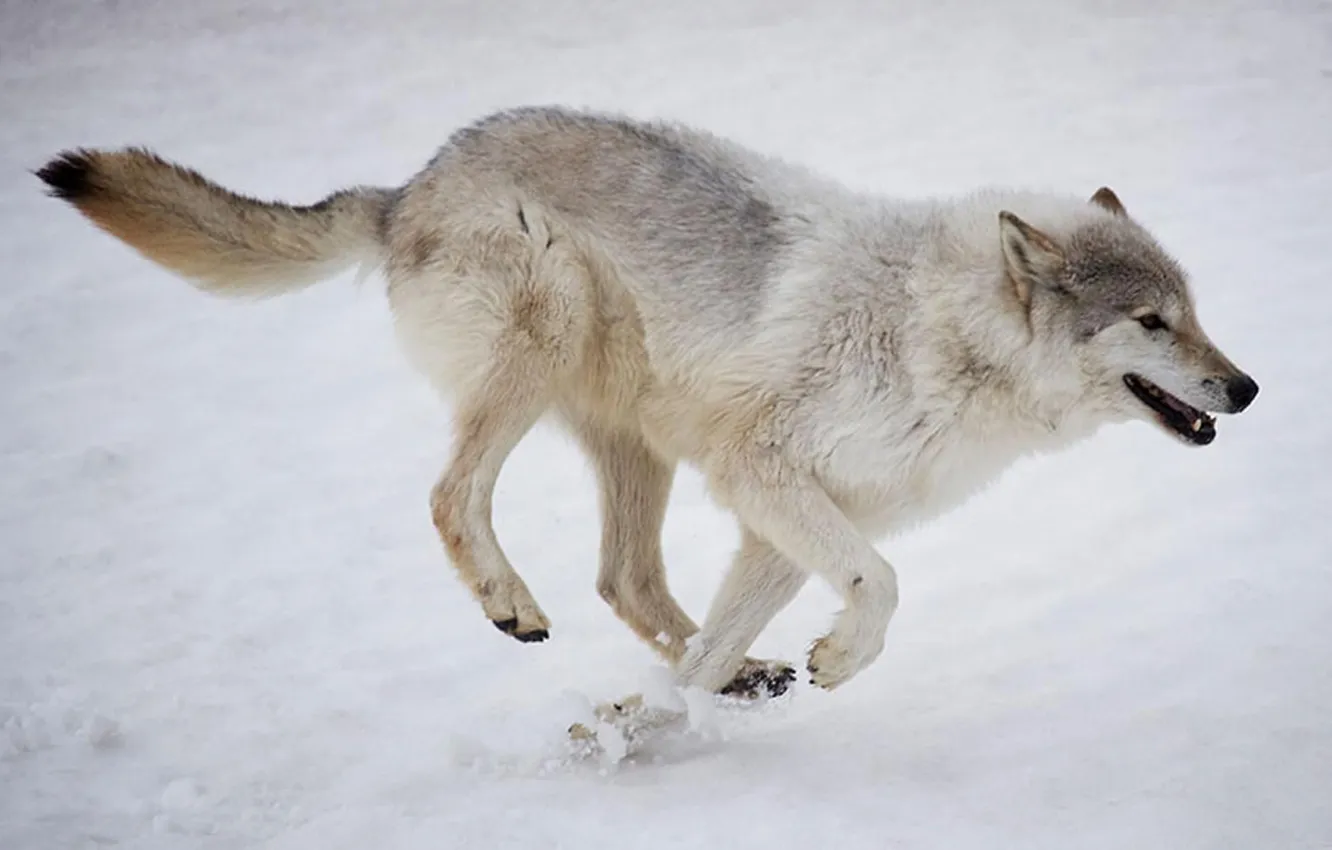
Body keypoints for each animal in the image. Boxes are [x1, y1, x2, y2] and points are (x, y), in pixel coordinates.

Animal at [36, 105, 1258, 697]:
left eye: (1194, 311)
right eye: (1151, 322)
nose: (1247, 388)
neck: (938, 338)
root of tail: (409, 184)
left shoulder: (779, 513)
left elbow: (735, 638)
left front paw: (663, 731)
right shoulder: (767, 473)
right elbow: (884, 582)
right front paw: (835, 662)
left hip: (644, 448)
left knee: (627, 580)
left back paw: (735, 678)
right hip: (547, 347)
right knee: (452, 497)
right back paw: (511, 604)